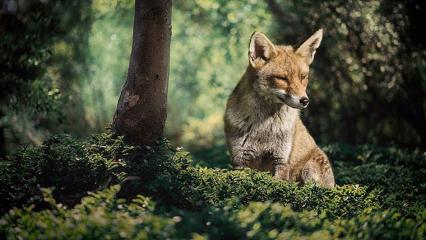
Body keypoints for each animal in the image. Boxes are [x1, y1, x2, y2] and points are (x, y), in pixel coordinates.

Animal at [225, 29, 334, 188]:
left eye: (303, 77)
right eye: (282, 78)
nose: (305, 101)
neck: (264, 128)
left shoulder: (281, 160)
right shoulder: (240, 160)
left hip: (308, 171)